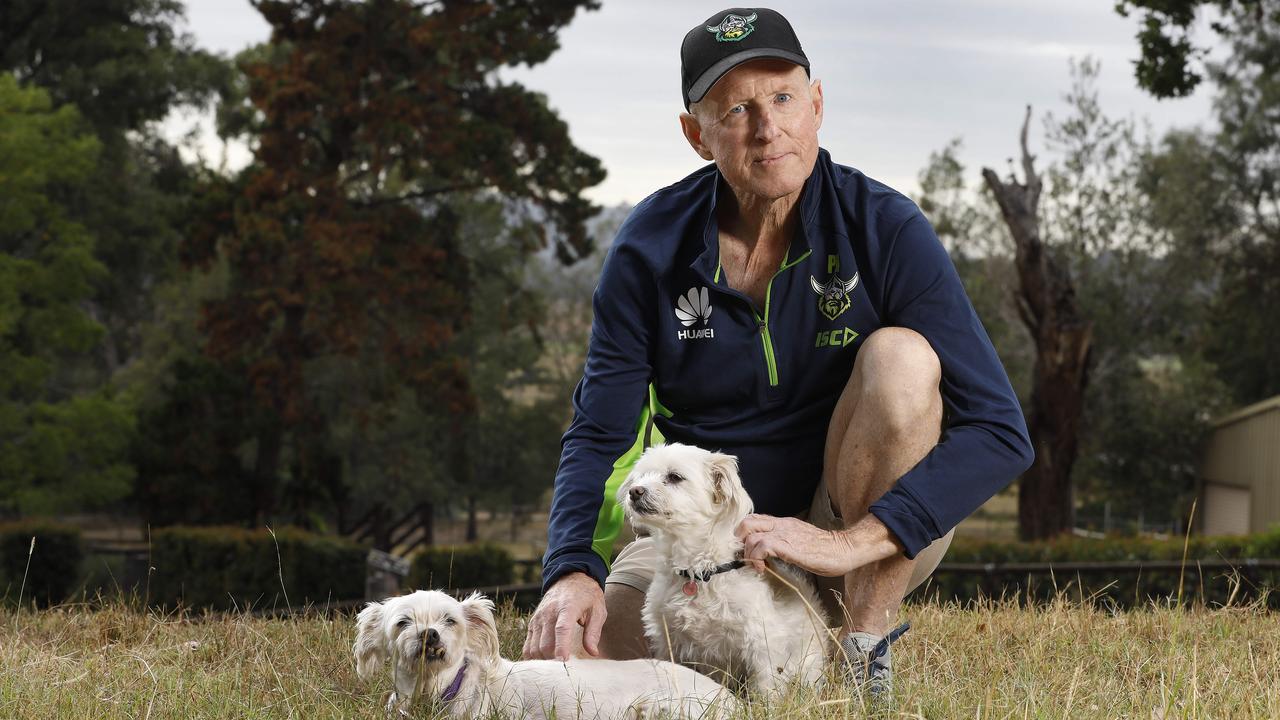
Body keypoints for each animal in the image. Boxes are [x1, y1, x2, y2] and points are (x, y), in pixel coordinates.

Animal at [619, 440, 829, 691]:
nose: (635, 491)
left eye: (675, 477)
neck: (700, 572)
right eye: (641, 476)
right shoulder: (667, 638)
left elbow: (766, 687)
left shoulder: (762, 644)